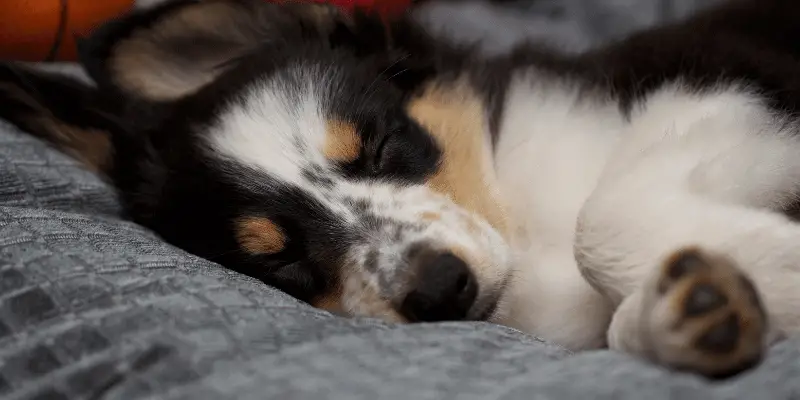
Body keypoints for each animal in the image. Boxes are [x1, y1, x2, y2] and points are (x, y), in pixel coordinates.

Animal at [1, 0, 800, 378]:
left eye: (380, 144)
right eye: (279, 260)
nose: (441, 289)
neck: (517, 215)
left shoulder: (732, 95)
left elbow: (599, 220)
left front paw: (779, 275)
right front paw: (696, 308)